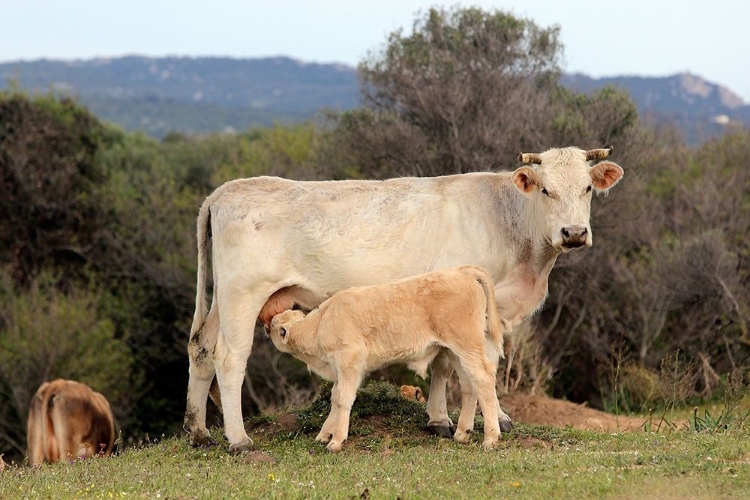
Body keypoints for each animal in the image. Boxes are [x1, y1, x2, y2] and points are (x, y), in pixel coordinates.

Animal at [268, 266, 512, 454]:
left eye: (271, 325)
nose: (265, 323)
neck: (321, 324)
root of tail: (461, 271)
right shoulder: (340, 369)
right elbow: (335, 397)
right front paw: (324, 434)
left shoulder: (350, 361)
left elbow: (344, 399)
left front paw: (336, 441)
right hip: (455, 352)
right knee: (470, 385)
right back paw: (462, 433)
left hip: (467, 344)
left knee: (483, 379)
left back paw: (490, 438)